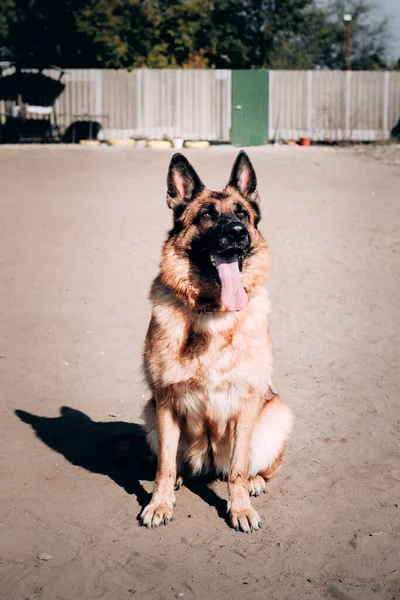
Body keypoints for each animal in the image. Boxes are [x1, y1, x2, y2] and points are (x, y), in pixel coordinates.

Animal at [139, 152, 292, 532]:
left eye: (242, 214)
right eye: (207, 215)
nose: (237, 232)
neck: (212, 313)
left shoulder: (248, 403)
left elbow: (237, 469)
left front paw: (239, 509)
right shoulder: (165, 403)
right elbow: (165, 466)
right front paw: (159, 503)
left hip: (277, 413)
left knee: (250, 468)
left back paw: (254, 483)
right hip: (150, 415)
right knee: (173, 463)